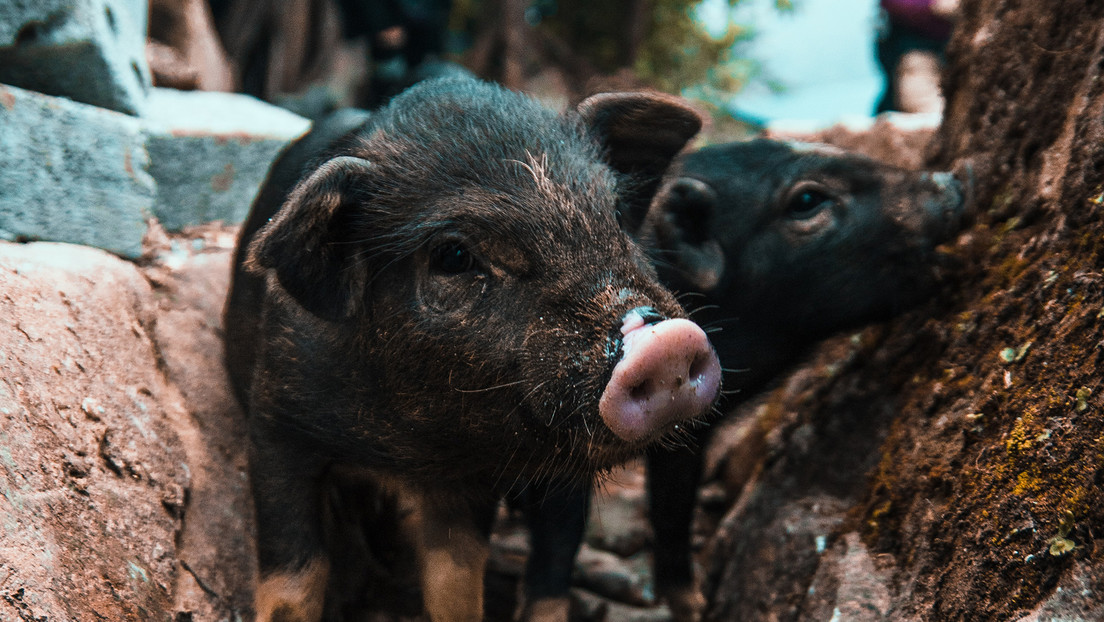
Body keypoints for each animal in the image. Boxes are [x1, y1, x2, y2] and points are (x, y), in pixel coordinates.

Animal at [224, 77, 724, 622]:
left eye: (613, 215)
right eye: (454, 256)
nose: (661, 340)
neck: (400, 452)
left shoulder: (473, 478)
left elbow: (456, 583)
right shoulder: (275, 425)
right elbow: (293, 580)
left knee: (555, 551)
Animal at [521, 138, 971, 618]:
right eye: (807, 200)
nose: (955, 178)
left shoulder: (688, 437)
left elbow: (673, 507)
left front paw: (694, 606)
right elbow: (560, 531)